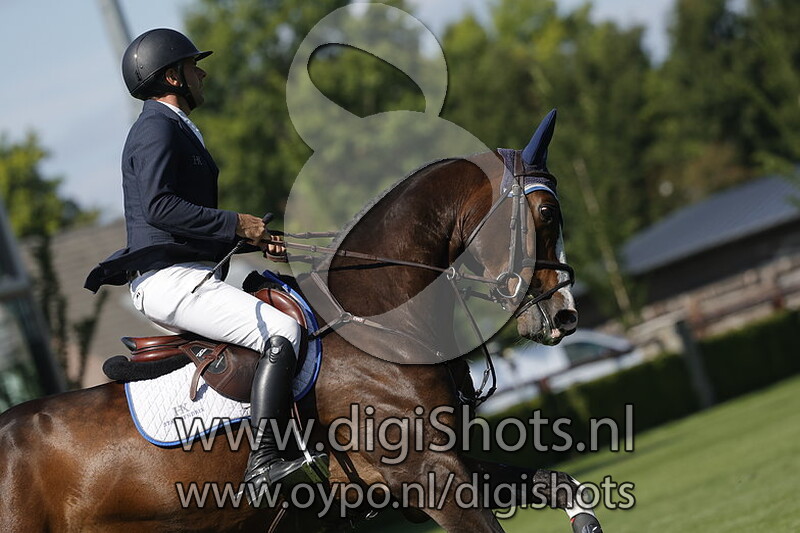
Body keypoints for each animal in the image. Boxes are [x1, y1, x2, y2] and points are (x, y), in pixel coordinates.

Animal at [0, 110, 602, 532]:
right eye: (547, 214)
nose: (566, 315)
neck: (379, 324)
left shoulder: (439, 467)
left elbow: (560, 483)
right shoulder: (427, 474)